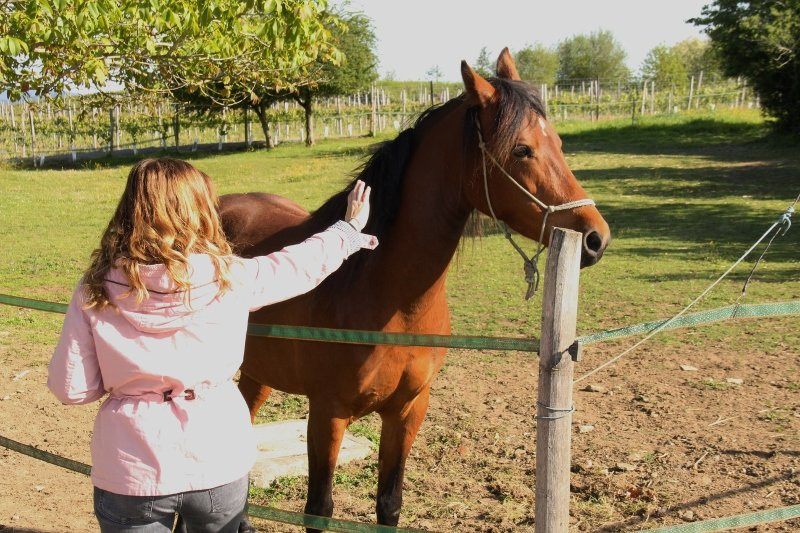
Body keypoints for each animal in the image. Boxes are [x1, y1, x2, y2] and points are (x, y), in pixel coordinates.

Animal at [222, 50, 608, 528]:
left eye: (558, 142)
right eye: (522, 149)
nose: (595, 238)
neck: (387, 295)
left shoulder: (408, 411)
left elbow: (389, 503)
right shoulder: (328, 413)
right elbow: (320, 509)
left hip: (256, 375)